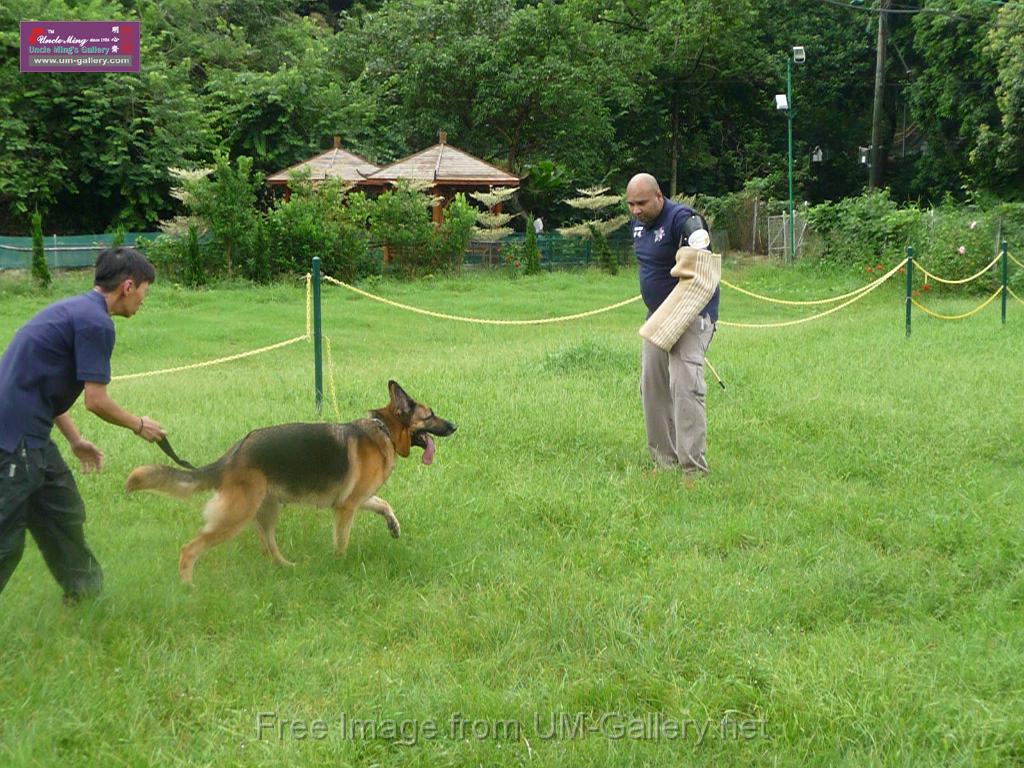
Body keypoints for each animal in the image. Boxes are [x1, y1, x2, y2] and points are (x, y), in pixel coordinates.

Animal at [124, 382, 456, 585]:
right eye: (431, 415)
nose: (455, 426)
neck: (384, 429)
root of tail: (233, 455)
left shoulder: (357, 499)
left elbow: (384, 504)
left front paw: (393, 526)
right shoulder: (346, 508)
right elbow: (342, 541)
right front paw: (339, 564)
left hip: (266, 511)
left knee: (268, 547)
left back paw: (287, 568)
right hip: (235, 517)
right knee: (190, 549)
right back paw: (188, 586)